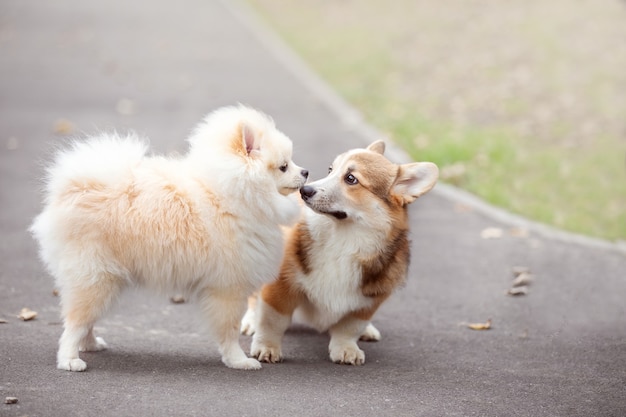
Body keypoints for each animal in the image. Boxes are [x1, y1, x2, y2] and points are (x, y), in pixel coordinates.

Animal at [29, 105, 308, 370]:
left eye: (291, 162)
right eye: (283, 166)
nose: (305, 171)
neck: (234, 195)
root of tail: (74, 188)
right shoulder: (228, 289)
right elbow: (229, 332)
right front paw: (238, 361)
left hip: (104, 280)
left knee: (85, 321)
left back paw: (90, 344)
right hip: (96, 277)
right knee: (74, 324)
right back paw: (69, 359)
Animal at [241, 140, 436, 364]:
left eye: (351, 179)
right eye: (330, 170)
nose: (304, 190)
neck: (344, 242)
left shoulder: (368, 302)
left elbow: (349, 327)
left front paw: (346, 349)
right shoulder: (280, 286)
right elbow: (273, 320)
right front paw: (266, 346)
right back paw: (251, 321)